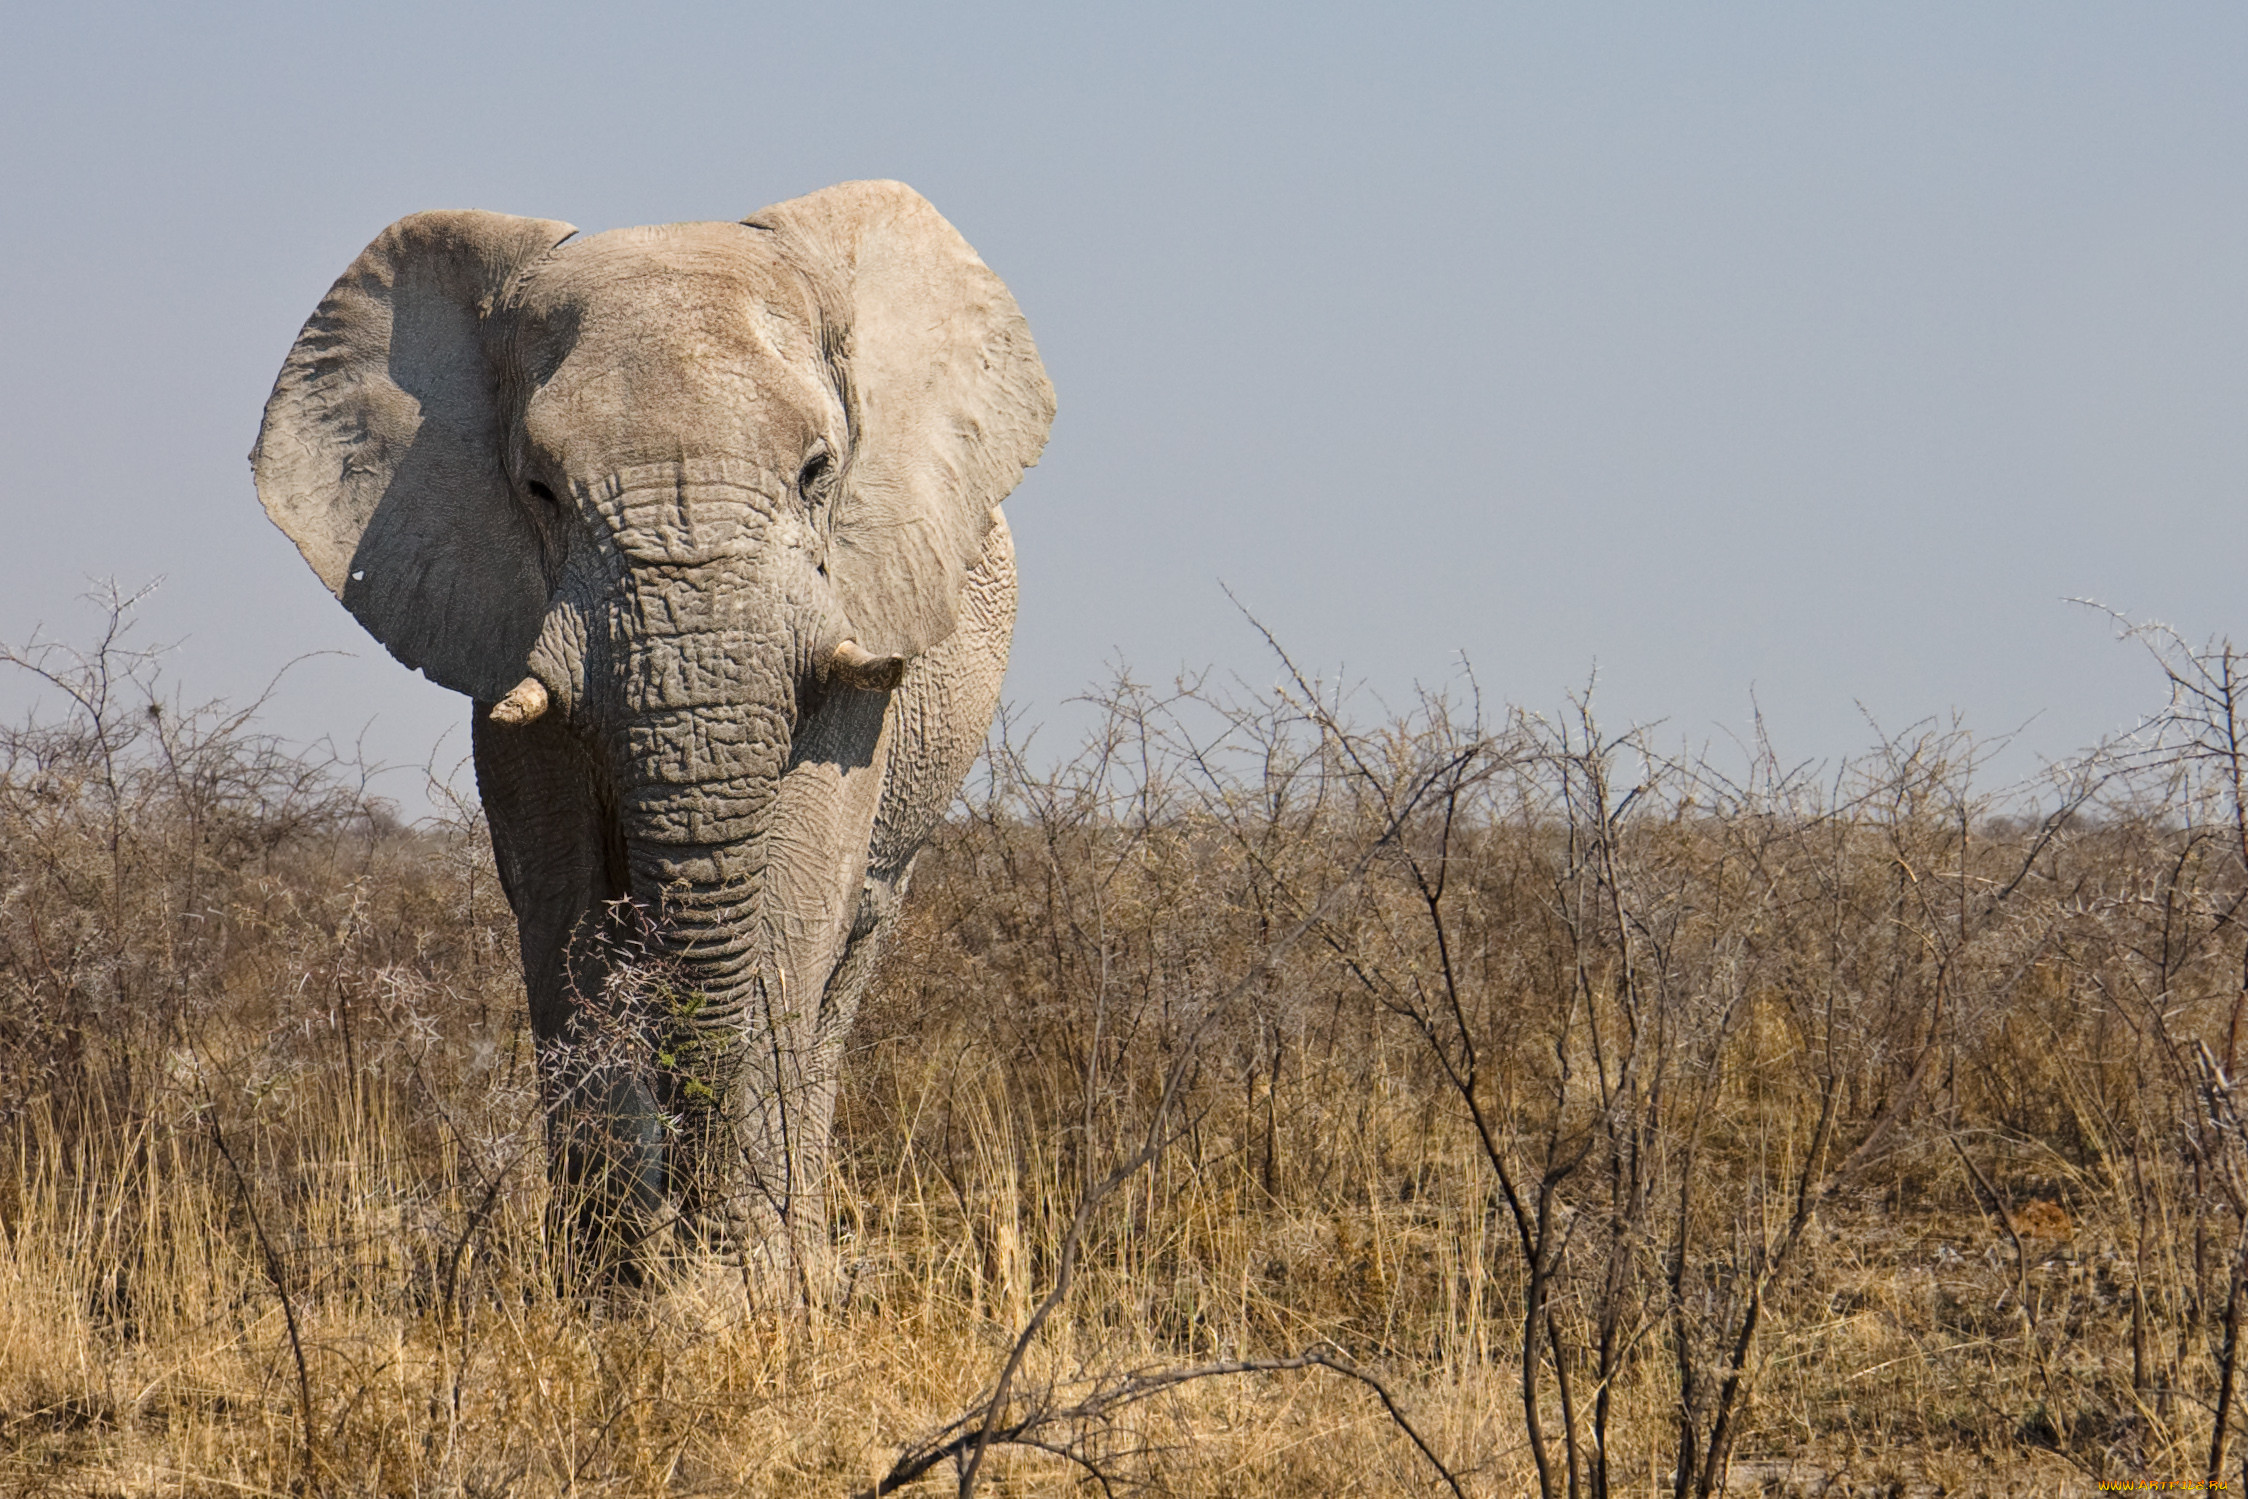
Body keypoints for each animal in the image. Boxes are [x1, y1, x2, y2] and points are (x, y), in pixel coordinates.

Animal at [250, 182, 1056, 1285]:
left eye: (817, 471)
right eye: (539, 489)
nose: (699, 1229)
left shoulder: (855, 613)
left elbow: (794, 891)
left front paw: (750, 1287)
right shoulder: (502, 622)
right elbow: (563, 901)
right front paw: (616, 1286)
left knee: (848, 949)